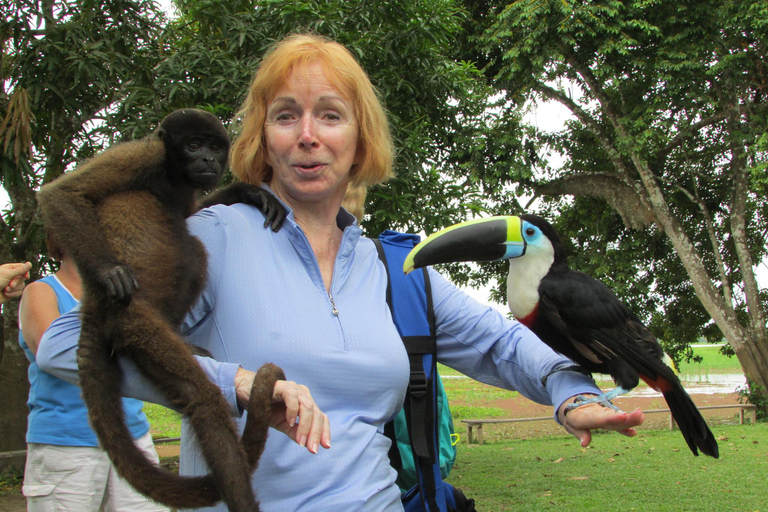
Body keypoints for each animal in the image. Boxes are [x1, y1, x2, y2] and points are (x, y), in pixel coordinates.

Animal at [36, 109, 284, 512]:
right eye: (193, 145)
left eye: (215, 147)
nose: (208, 160)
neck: (172, 174)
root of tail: (93, 308)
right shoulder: (145, 155)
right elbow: (62, 194)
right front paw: (110, 270)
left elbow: (192, 212)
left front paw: (246, 192)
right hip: (135, 322)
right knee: (203, 399)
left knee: (193, 249)